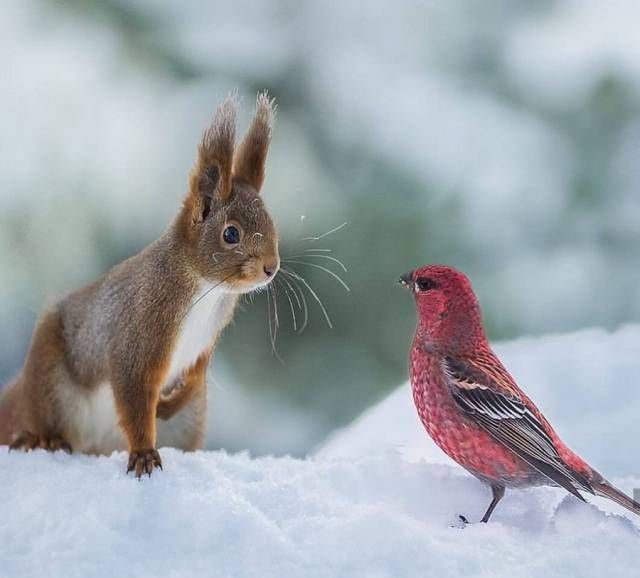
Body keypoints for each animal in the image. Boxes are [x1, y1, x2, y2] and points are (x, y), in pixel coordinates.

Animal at [0, 92, 280, 474]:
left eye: (270, 220)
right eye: (231, 234)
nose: (271, 267)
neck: (205, 289)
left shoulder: (207, 339)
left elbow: (195, 373)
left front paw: (169, 402)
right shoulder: (140, 330)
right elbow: (134, 394)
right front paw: (145, 453)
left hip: (188, 421)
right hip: (49, 379)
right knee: (40, 417)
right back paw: (42, 438)